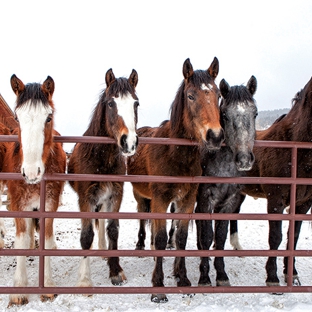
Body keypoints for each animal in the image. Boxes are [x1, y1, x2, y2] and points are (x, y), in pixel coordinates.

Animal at [2, 74, 66, 306]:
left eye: (48, 117)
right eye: (17, 117)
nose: (30, 172)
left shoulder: (50, 204)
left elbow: (46, 239)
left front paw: (47, 286)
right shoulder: (18, 203)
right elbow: (21, 239)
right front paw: (19, 290)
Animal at [68, 67, 139, 288]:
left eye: (136, 103)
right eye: (110, 103)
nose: (129, 142)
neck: (101, 158)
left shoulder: (115, 195)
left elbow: (113, 229)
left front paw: (115, 269)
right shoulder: (85, 198)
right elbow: (86, 235)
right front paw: (84, 280)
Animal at [127, 56, 224, 302]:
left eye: (218, 95)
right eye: (190, 96)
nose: (215, 136)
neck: (174, 153)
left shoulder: (186, 200)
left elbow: (180, 238)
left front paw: (183, 279)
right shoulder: (160, 199)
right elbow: (162, 238)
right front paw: (158, 287)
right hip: (141, 196)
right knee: (143, 219)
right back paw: (142, 247)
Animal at [195, 76, 258, 288]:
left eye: (255, 113)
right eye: (224, 114)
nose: (244, 159)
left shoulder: (229, 201)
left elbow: (220, 236)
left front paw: (221, 275)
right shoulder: (206, 199)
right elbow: (207, 235)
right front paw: (204, 277)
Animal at [228, 75, 312, 288]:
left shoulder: (303, 204)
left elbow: (293, 237)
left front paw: (292, 273)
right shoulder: (276, 199)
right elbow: (276, 237)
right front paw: (272, 278)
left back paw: (237, 246)